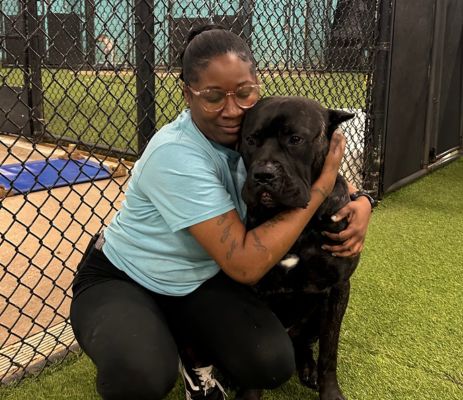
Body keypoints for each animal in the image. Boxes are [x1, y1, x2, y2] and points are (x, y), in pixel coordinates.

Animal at [241, 97, 360, 400]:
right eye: (251, 139)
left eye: (295, 139)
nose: (263, 175)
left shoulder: (338, 287)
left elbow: (330, 351)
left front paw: (330, 392)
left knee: (306, 344)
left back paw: (307, 368)